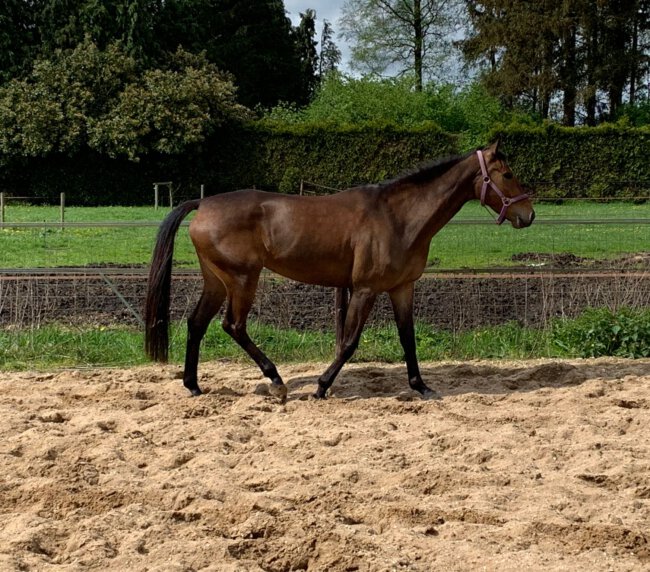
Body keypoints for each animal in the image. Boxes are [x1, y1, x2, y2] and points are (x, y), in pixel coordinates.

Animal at [144, 141, 535, 402]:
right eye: (508, 174)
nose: (528, 214)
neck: (398, 217)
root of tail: (203, 203)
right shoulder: (364, 289)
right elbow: (349, 343)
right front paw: (321, 386)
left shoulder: (402, 288)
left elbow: (408, 338)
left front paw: (421, 387)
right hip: (242, 280)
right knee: (233, 326)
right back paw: (277, 382)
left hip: (217, 281)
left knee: (197, 323)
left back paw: (194, 385)